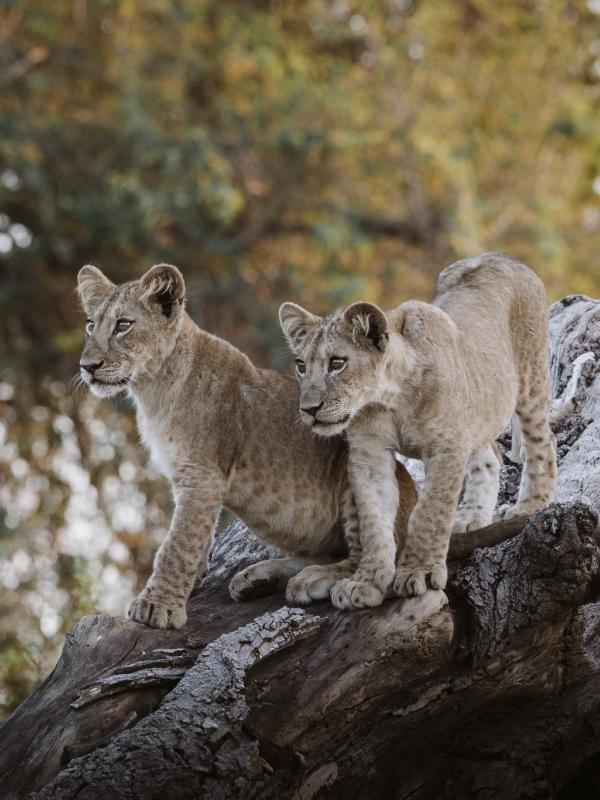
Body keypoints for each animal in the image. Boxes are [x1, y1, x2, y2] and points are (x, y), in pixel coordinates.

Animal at [279, 252, 557, 609]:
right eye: (301, 366)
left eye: (337, 363)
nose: (309, 409)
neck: (390, 401)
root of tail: (499, 255)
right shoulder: (369, 454)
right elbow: (374, 523)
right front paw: (366, 583)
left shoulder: (447, 447)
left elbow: (430, 513)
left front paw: (419, 573)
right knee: (490, 456)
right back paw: (469, 517)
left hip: (530, 378)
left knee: (542, 442)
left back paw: (531, 505)